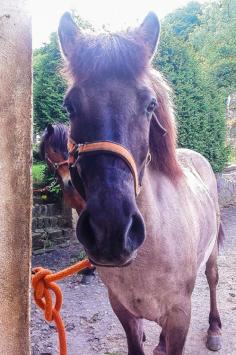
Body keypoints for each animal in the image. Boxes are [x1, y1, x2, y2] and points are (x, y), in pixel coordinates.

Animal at [58, 11, 224, 355]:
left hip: (212, 253)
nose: (110, 229)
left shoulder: (180, 315)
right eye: (70, 106)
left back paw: (215, 329)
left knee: (213, 278)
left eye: (150, 105)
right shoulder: (123, 310)